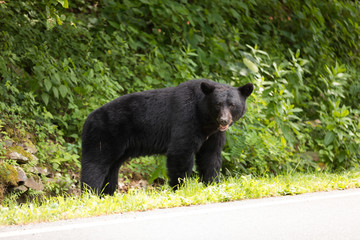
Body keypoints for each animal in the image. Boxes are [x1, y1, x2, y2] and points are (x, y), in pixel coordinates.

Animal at [80, 79, 255, 194]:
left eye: (232, 105)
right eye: (218, 104)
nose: (223, 120)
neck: (205, 119)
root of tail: (88, 119)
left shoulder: (214, 135)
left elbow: (210, 157)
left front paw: (211, 184)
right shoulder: (186, 118)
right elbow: (180, 152)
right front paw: (180, 188)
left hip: (118, 147)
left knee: (112, 168)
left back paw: (107, 193)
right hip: (104, 135)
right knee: (95, 165)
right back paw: (90, 193)